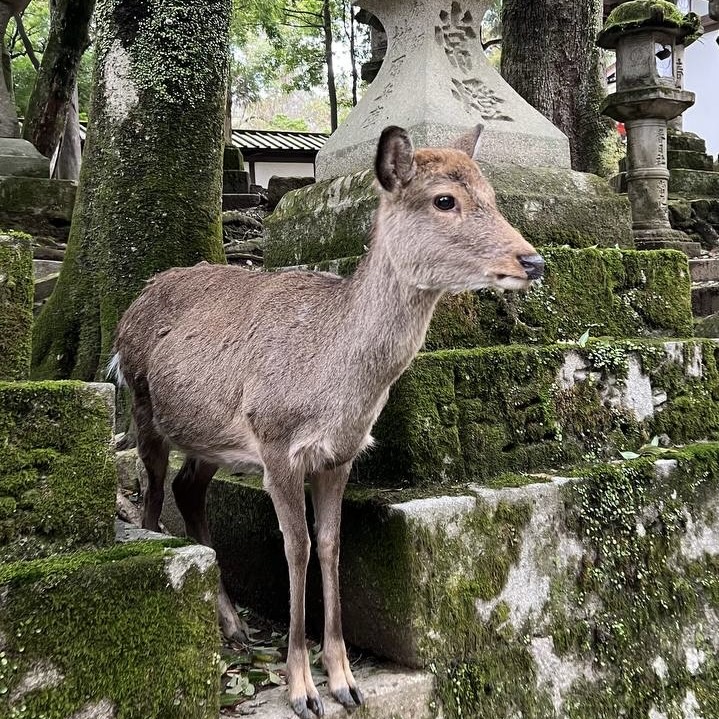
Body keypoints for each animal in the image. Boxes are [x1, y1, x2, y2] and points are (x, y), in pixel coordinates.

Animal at [111, 125, 545, 719]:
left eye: (495, 195)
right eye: (444, 200)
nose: (532, 261)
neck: (334, 388)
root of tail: (131, 306)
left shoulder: (340, 454)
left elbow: (332, 545)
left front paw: (343, 680)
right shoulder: (275, 443)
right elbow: (296, 549)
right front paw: (301, 688)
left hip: (211, 438)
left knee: (188, 489)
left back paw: (235, 628)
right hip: (143, 406)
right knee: (153, 495)